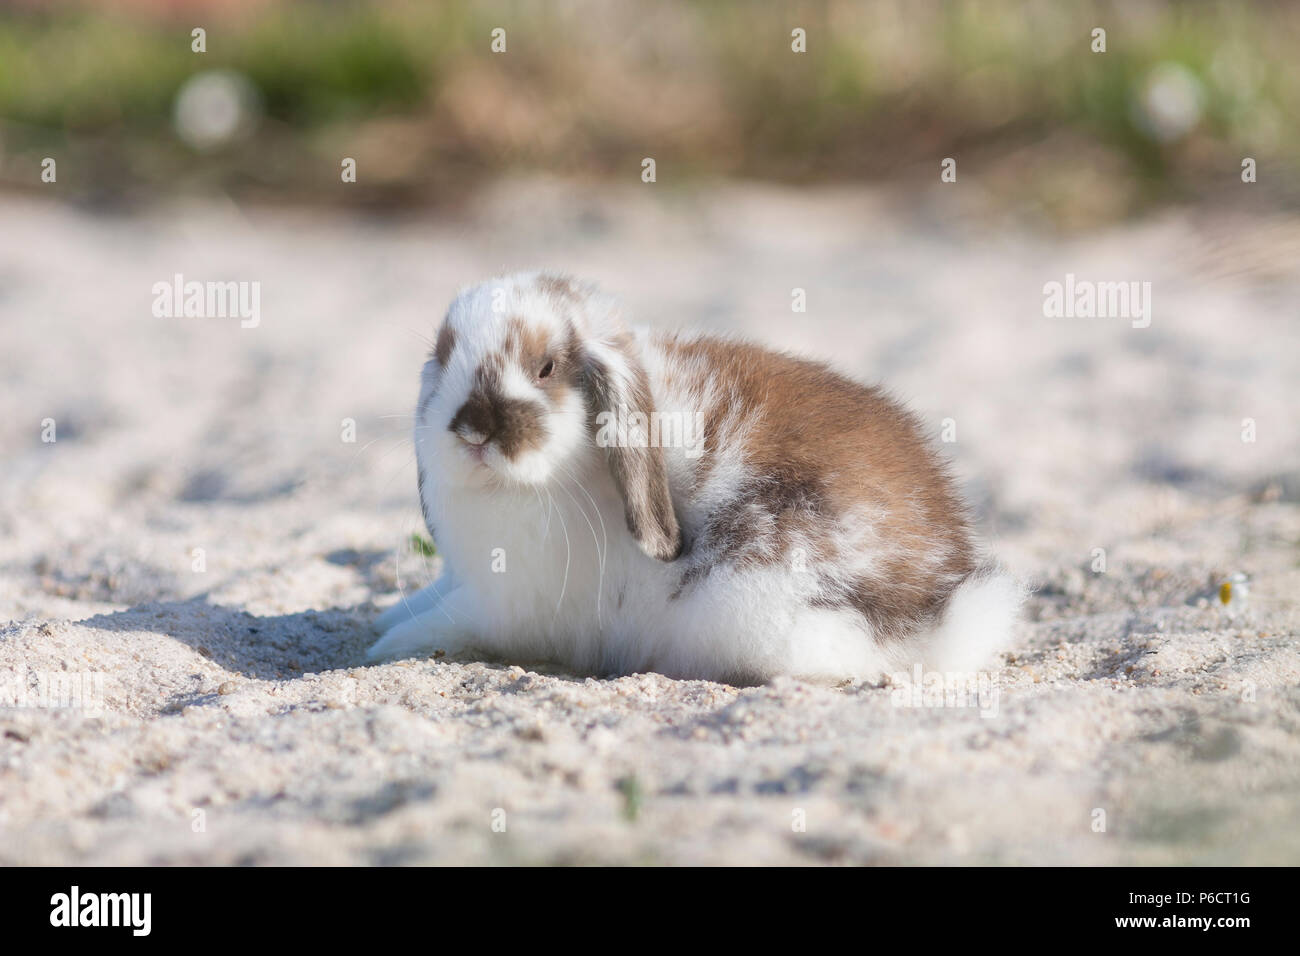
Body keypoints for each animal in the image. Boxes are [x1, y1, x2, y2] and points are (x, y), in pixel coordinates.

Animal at [369, 271, 1021, 683]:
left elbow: (447, 622)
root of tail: (938, 607)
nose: (474, 430)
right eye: (442, 354)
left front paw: (383, 645)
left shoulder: (504, 609)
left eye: (546, 367)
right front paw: (385, 621)